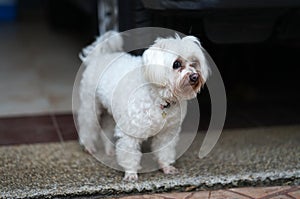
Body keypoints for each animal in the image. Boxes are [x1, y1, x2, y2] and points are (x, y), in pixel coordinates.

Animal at [77, 30, 210, 180]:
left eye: (194, 63)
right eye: (176, 64)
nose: (195, 77)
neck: (160, 97)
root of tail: (99, 56)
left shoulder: (167, 133)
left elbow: (165, 151)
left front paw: (166, 167)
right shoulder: (130, 131)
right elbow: (129, 154)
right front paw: (131, 173)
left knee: (106, 128)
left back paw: (109, 150)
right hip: (90, 106)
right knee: (87, 126)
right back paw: (88, 146)